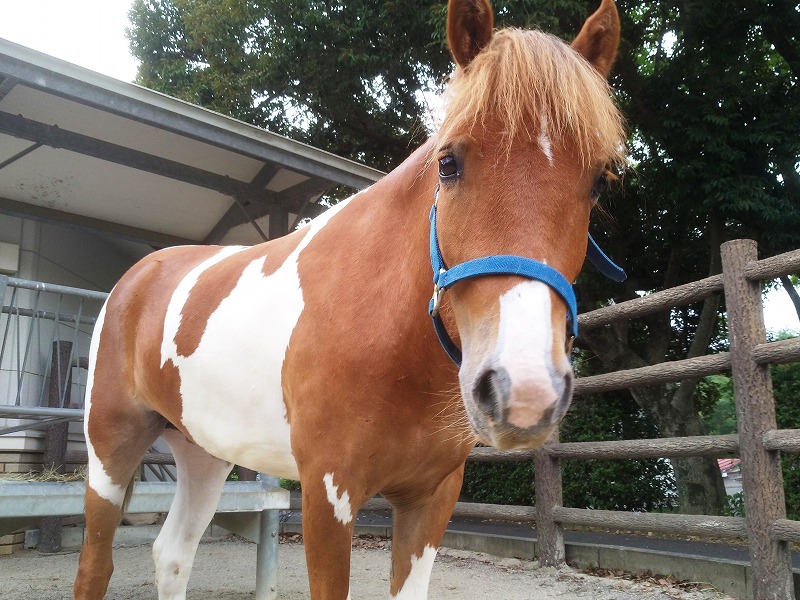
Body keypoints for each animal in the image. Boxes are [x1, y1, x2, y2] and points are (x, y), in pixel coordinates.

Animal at [73, 1, 624, 600]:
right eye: (448, 163)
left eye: (599, 181)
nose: (522, 391)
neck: (386, 333)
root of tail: (136, 277)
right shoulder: (327, 494)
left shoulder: (431, 497)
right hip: (110, 448)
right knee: (95, 565)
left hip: (204, 453)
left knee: (173, 552)